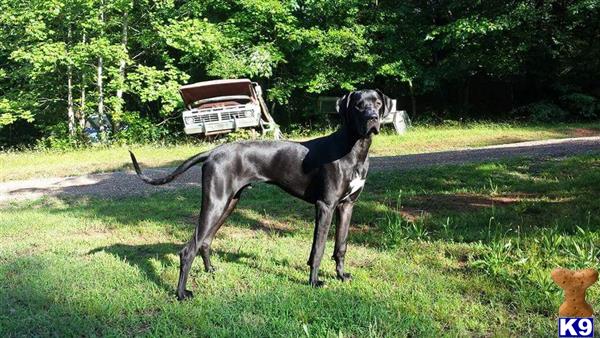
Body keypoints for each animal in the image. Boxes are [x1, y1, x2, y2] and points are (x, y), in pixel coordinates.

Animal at [130, 90, 394, 302]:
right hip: (216, 202)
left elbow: (341, 246)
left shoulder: (347, 206)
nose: (373, 118)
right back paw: (181, 293)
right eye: (358, 105)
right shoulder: (325, 206)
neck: (354, 149)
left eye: (378, 103)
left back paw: (211, 270)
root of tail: (212, 152)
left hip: (229, 203)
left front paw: (341, 275)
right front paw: (313, 281)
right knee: (188, 250)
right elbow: (318, 249)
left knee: (204, 241)